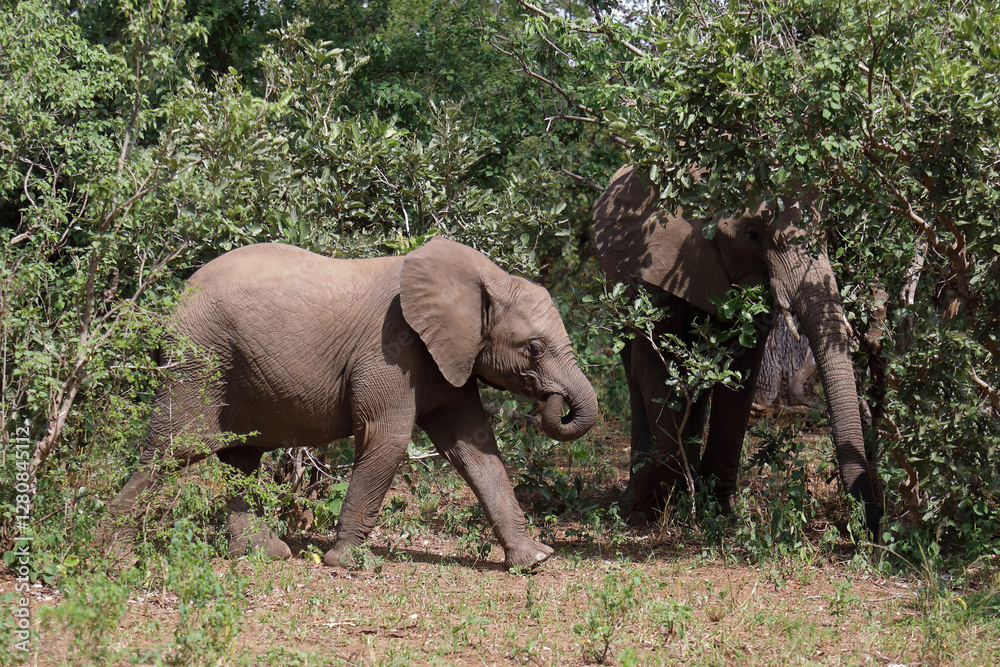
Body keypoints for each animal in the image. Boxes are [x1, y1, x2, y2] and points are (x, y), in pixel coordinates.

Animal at [102, 237, 598, 569]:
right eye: (534, 348)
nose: (556, 403)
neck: (485, 278)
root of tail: (169, 307)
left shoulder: (447, 356)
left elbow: (475, 446)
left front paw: (534, 561)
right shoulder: (391, 347)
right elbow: (388, 437)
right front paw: (341, 562)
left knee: (240, 458)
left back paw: (266, 554)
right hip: (197, 361)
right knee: (174, 449)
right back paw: (113, 558)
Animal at [592, 165, 881, 536]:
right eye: (752, 235)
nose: (868, 527)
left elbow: (741, 369)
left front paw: (717, 511)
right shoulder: (654, 265)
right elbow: (659, 366)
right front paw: (659, 504)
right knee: (634, 370)